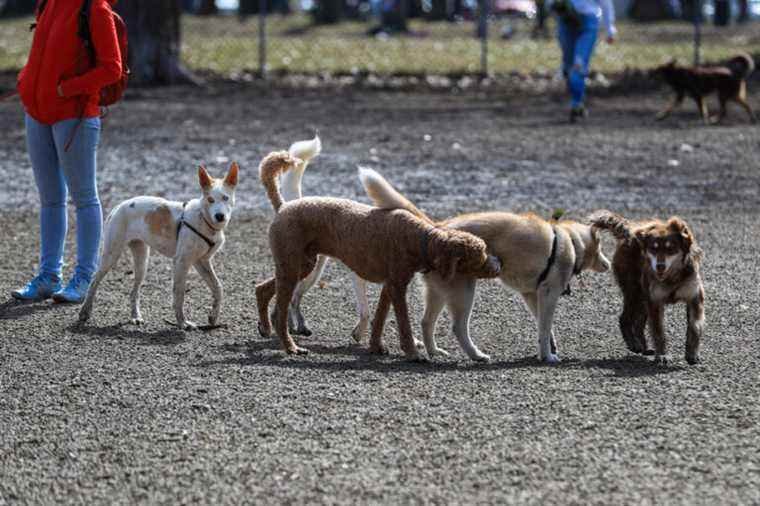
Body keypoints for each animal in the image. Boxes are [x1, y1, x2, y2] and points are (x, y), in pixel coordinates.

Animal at [79, 162, 238, 328]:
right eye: (210, 199)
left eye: (225, 198)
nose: (220, 216)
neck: (204, 219)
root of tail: (119, 206)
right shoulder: (181, 262)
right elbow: (179, 294)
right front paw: (182, 322)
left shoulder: (201, 262)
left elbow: (218, 288)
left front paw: (213, 316)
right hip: (111, 255)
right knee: (94, 280)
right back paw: (85, 311)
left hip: (142, 262)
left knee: (134, 292)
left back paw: (135, 316)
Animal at [255, 151, 502, 360]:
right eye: (480, 256)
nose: (498, 264)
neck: (421, 239)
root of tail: (283, 207)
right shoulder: (397, 287)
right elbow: (403, 323)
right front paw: (412, 352)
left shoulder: (389, 286)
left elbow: (380, 319)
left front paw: (376, 346)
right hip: (293, 267)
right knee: (280, 310)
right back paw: (291, 347)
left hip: (301, 265)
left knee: (263, 290)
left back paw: (265, 327)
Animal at [588, 211, 708, 366]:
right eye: (653, 248)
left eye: (671, 249)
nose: (660, 266)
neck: (672, 277)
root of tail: (630, 233)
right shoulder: (655, 301)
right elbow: (658, 331)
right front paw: (662, 355)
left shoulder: (694, 297)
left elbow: (694, 327)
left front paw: (692, 354)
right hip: (634, 292)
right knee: (625, 319)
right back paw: (634, 344)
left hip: (643, 298)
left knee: (639, 323)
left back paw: (644, 347)